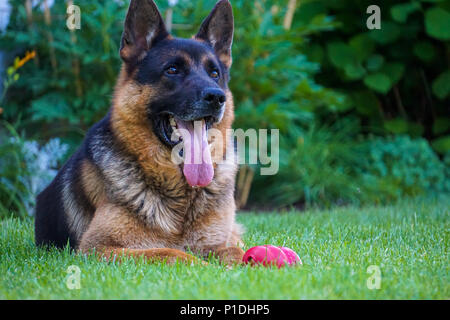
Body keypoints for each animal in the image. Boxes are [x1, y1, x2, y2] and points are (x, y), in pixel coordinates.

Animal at [34, 0, 246, 264]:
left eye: (215, 74)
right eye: (172, 70)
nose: (217, 97)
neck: (182, 196)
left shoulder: (219, 242)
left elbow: (236, 251)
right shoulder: (97, 248)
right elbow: (171, 252)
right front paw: (204, 267)